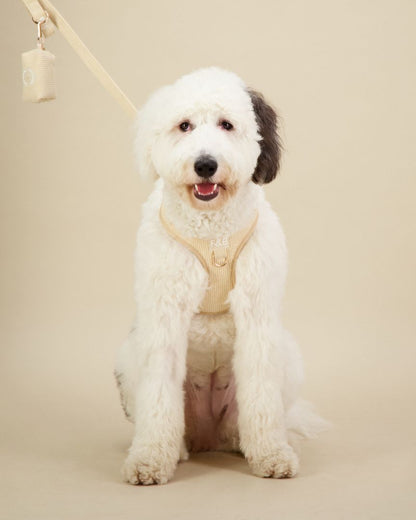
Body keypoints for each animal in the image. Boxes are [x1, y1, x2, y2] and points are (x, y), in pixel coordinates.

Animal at [114, 67, 324, 486]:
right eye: (184, 125)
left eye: (227, 124)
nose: (205, 165)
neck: (212, 231)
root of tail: (208, 436)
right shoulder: (163, 317)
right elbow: (158, 395)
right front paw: (149, 460)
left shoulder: (257, 316)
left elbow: (261, 393)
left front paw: (271, 455)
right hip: (130, 359)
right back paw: (177, 450)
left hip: (285, 356)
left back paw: (243, 443)